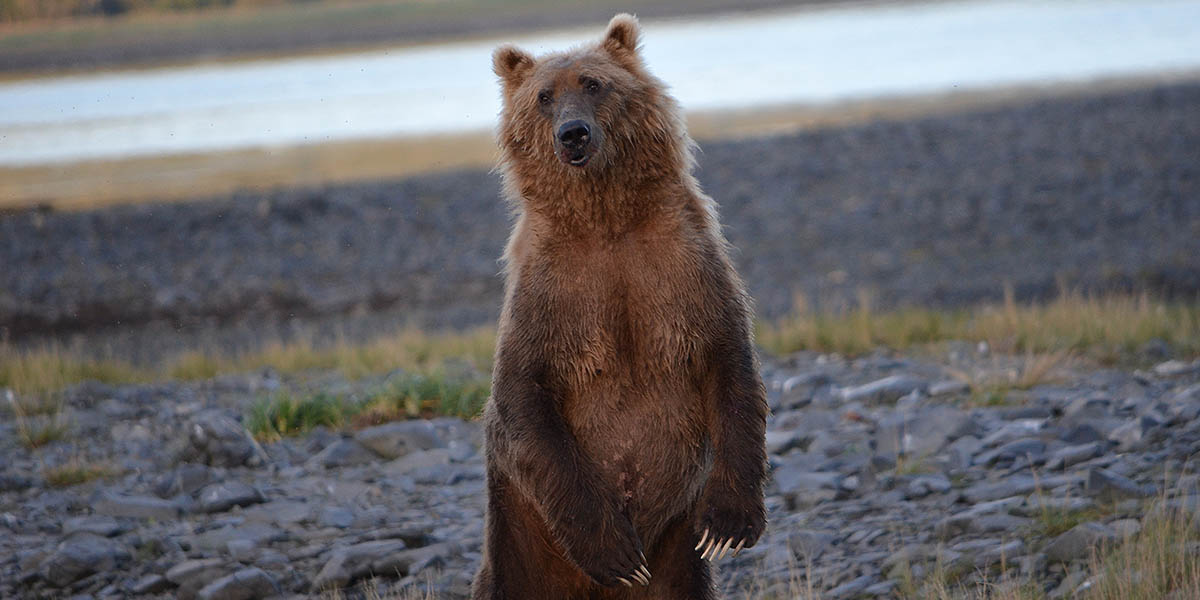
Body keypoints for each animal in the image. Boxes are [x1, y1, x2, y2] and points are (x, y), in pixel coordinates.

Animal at [470, 14, 768, 600]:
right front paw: (616, 553)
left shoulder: (684, 267)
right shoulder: (551, 293)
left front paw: (729, 523)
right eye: (543, 96)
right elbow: (522, 395)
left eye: (593, 83)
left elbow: (730, 365)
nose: (573, 133)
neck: (606, 219)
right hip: (516, 541)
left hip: (676, 558)